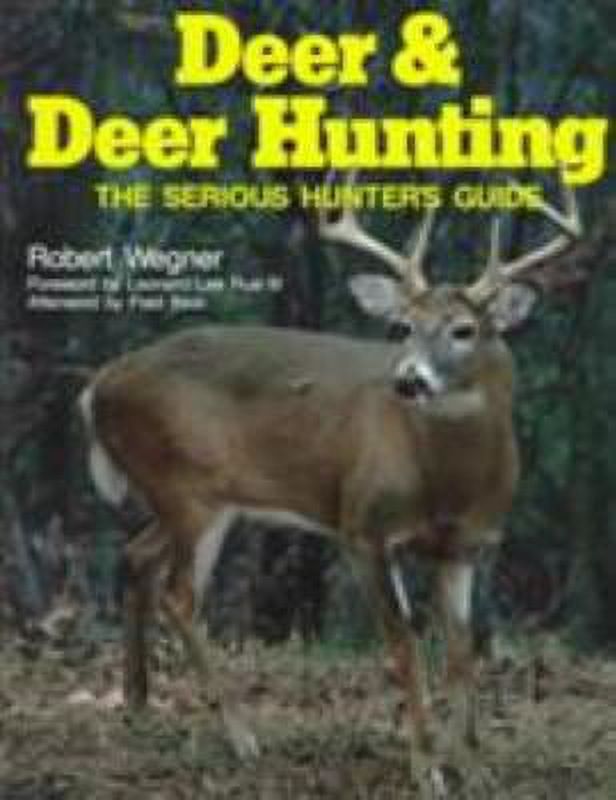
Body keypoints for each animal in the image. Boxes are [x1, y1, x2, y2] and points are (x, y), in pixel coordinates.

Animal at [79, 175, 581, 796]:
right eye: (404, 327)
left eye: (464, 330)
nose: (408, 380)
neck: (447, 484)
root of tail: (97, 386)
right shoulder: (363, 527)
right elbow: (405, 643)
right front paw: (428, 768)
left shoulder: (467, 546)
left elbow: (464, 649)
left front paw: (475, 767)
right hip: (189, 491)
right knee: (180, 595)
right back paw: (242, 737)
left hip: (192, 499)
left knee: (134, 555)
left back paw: (138, 703)